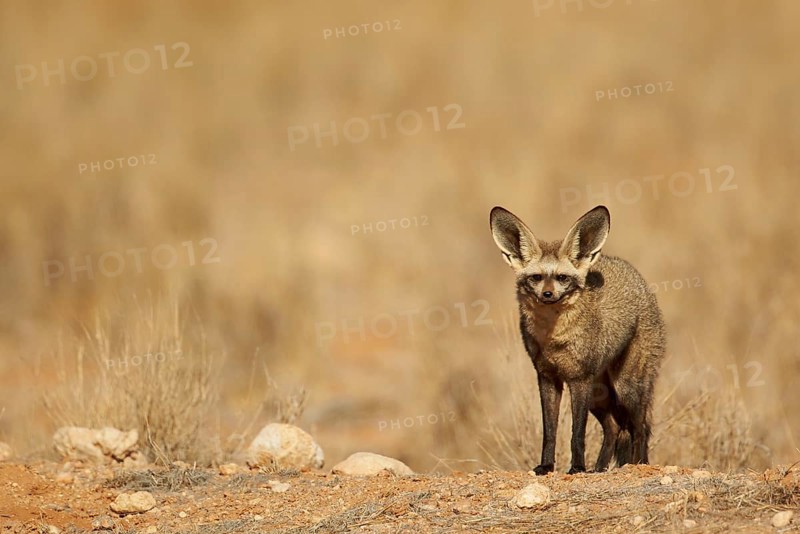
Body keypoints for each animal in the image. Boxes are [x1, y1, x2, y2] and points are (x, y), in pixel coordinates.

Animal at [489, 205, 665, 475]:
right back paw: (599, 469)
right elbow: (549, 432)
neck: (553, 340)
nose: (547, 294)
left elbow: (577, 433)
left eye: (562, 278)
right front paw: (546, 466)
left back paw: (639, 464)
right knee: (614, 428)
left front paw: (577, 467)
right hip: (599, 395)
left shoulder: (579, 379)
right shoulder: (547, 377)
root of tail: (638, 278)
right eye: (536, 278)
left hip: (626, 389)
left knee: (640, 427)